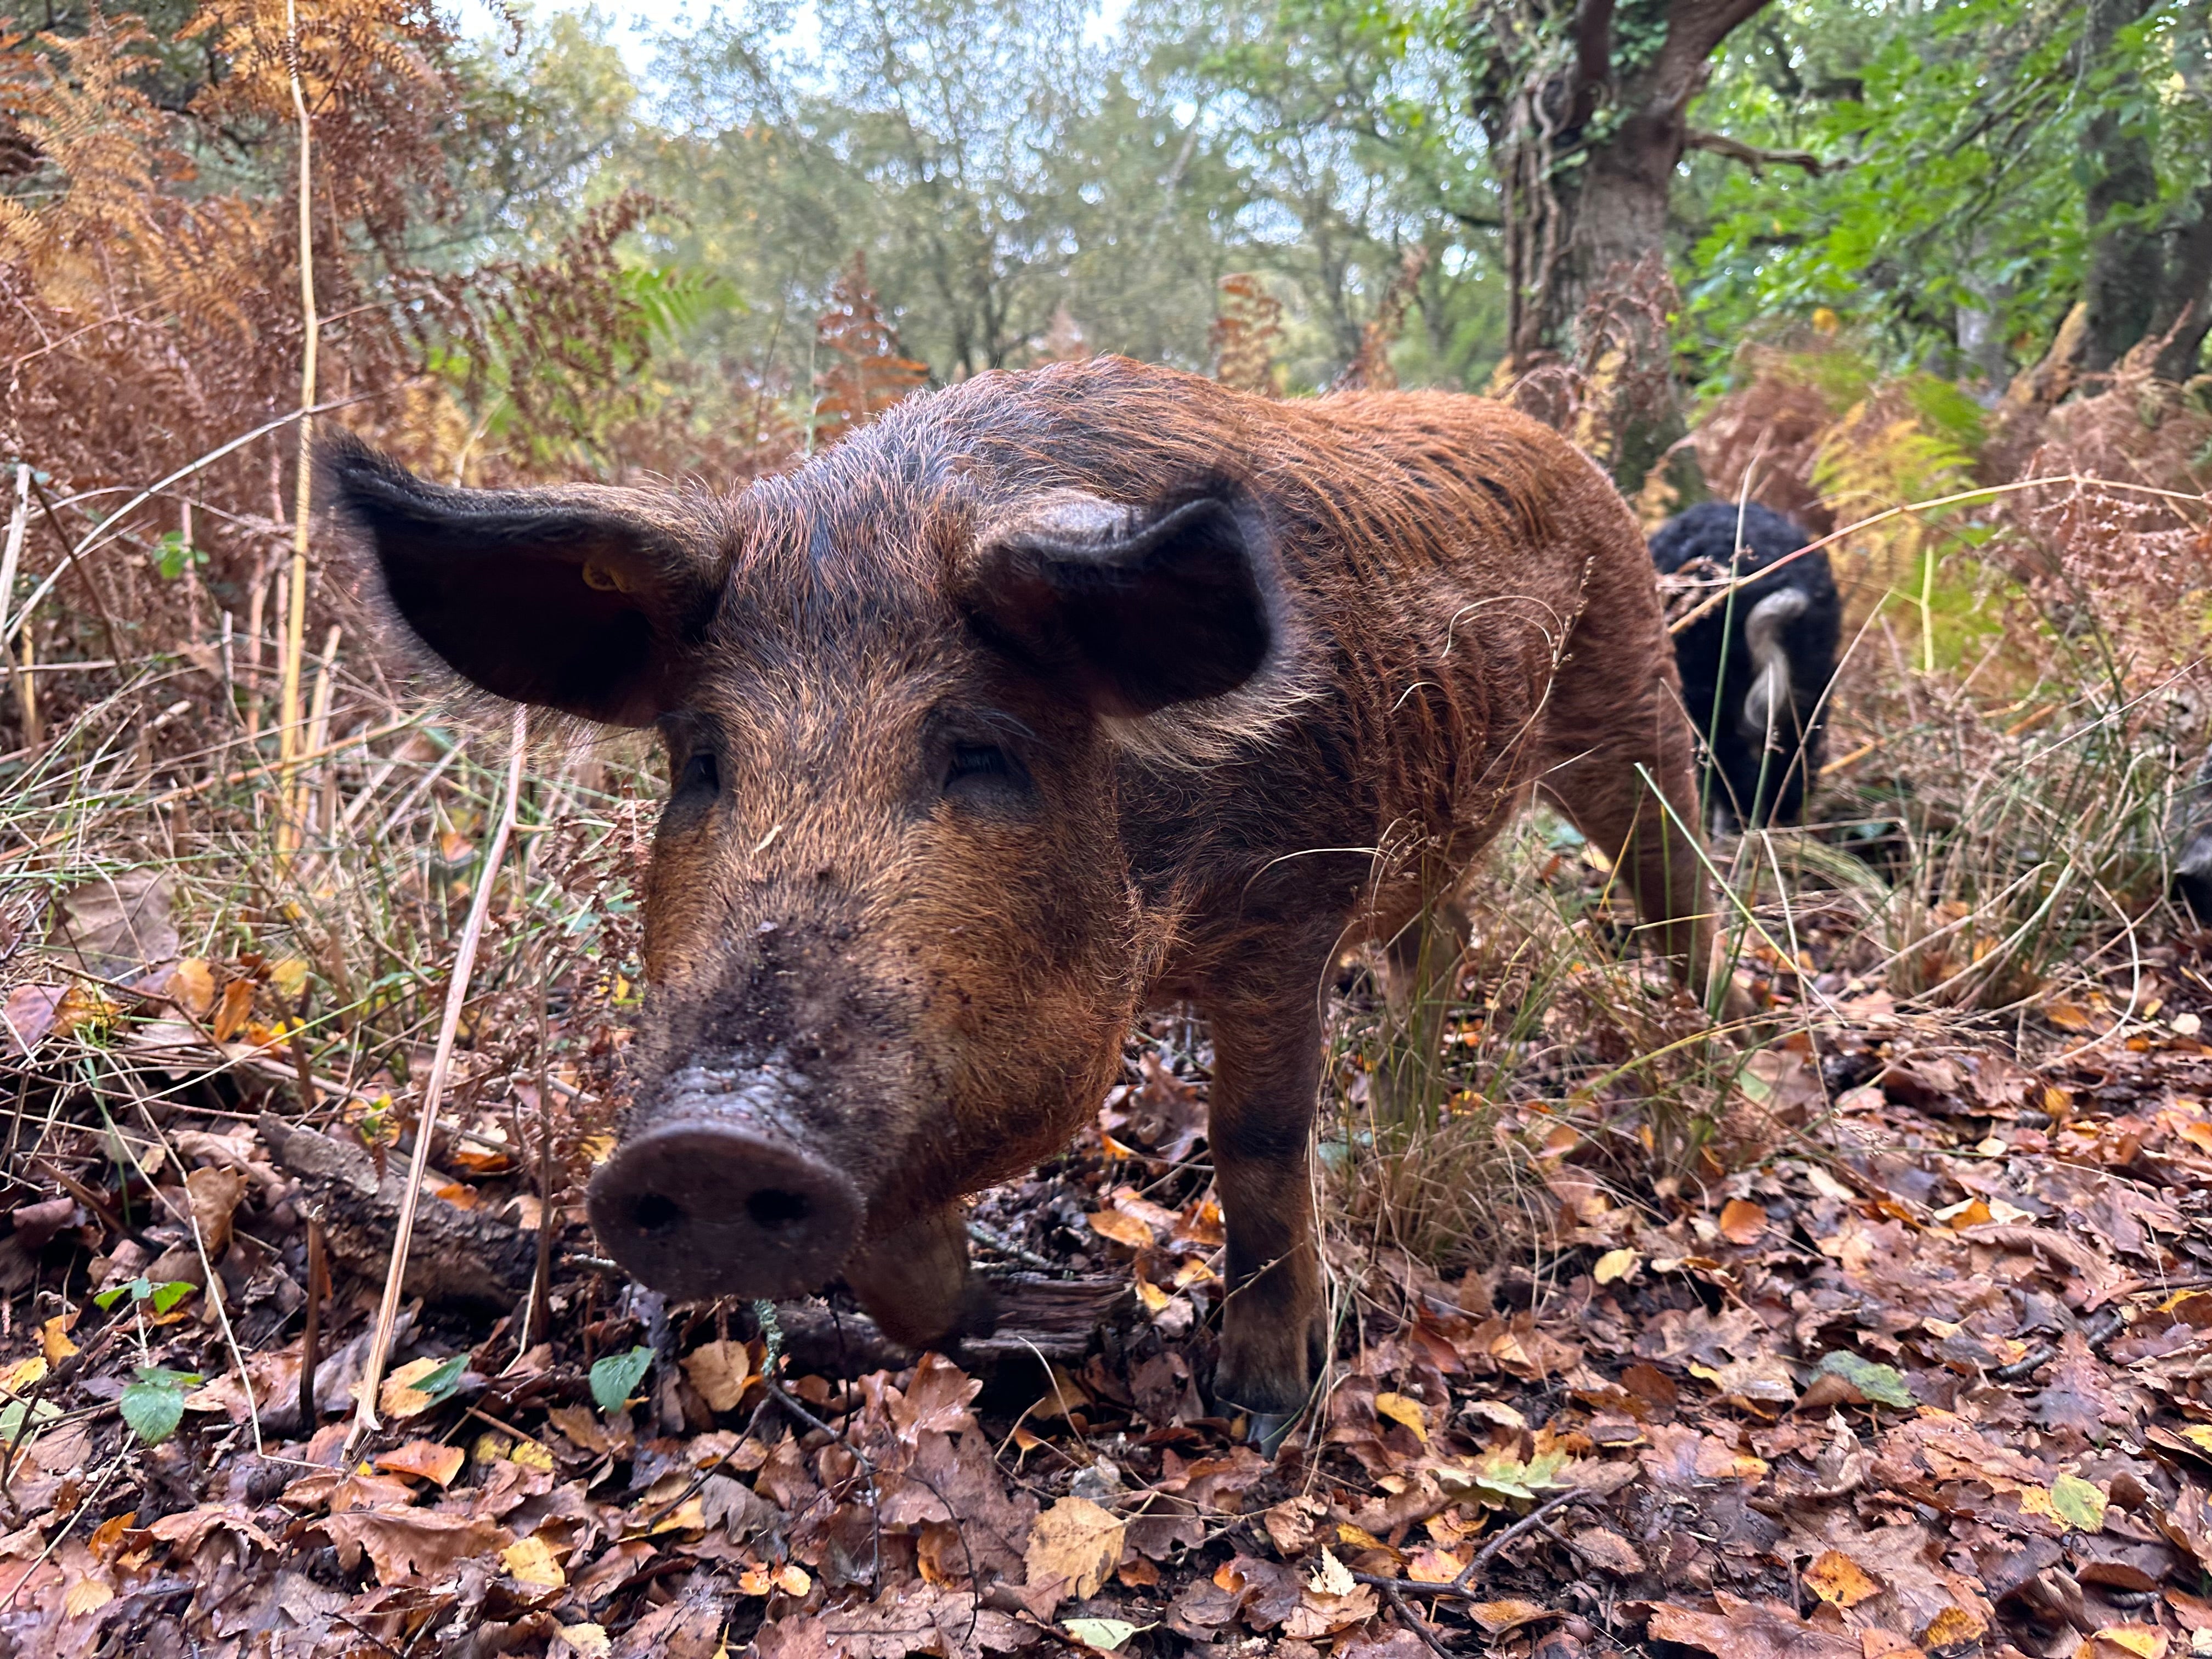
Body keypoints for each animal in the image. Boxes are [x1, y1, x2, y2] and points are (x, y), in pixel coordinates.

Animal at [325, 354, 1719, 1432]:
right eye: (702, 761)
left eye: (980, 752)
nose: (713, 1139)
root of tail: (1565, 450)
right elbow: (899, 1257)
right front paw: (1070, 1320)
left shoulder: (1293, 903)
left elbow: (1258, 1143)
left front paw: (1261, 1410)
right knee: (1449, 937)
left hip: (1631, 699)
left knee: (1681, 886)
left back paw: (1691, 1096)